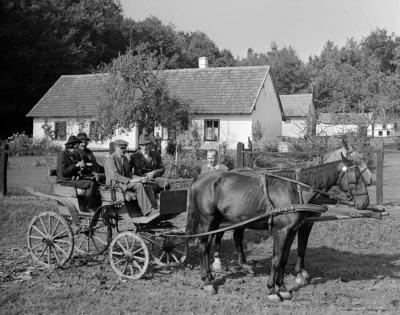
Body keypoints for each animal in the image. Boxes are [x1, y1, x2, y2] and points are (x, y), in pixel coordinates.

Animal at [188, 156, 368, 302]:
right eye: (356, 176)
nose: (365, 203)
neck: (297, 190)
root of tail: (199, 179)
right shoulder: (281, 231)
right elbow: (276, 259)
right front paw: (272, 290)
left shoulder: (292, 230)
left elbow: (285, 258)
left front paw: (283, 288)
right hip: (207, 221)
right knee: (203, 247)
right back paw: (207, 281)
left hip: (218, 221)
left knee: (212, 244)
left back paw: (212, 275)